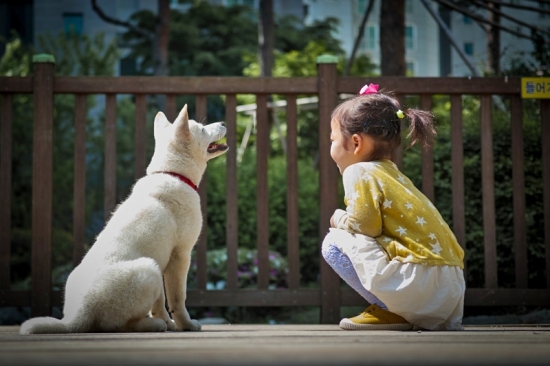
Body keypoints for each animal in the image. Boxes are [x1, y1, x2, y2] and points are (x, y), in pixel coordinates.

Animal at [19, 104, 226, 334]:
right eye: (202, 129)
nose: (224, 122)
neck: (172, 173)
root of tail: (81, 311)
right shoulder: (180, 255)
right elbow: (177, 299)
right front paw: (185, 325)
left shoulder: (163, 260)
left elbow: (159, 303)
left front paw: (170, 324)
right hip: (148, 269)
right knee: (120, 325)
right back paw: (151, 324)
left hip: (149, 269)